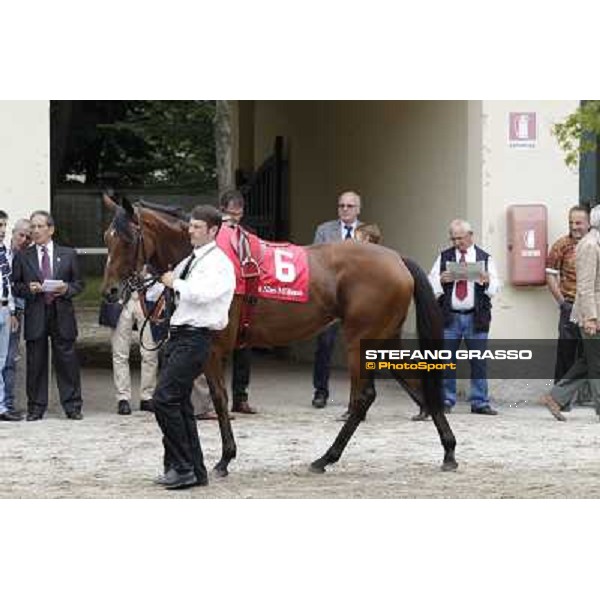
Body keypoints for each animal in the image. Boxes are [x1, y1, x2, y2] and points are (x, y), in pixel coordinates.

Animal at [101, 197, 458, 478]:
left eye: (128, 238)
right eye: (106, 238)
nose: (111, 291)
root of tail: (397, 259)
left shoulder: (214, 347)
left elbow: (219, 398)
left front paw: (224, 459)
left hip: (360, 339)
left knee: (363, 398)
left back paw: (325, 458)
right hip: (383, 338)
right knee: (416, 381)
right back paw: (449, 450)